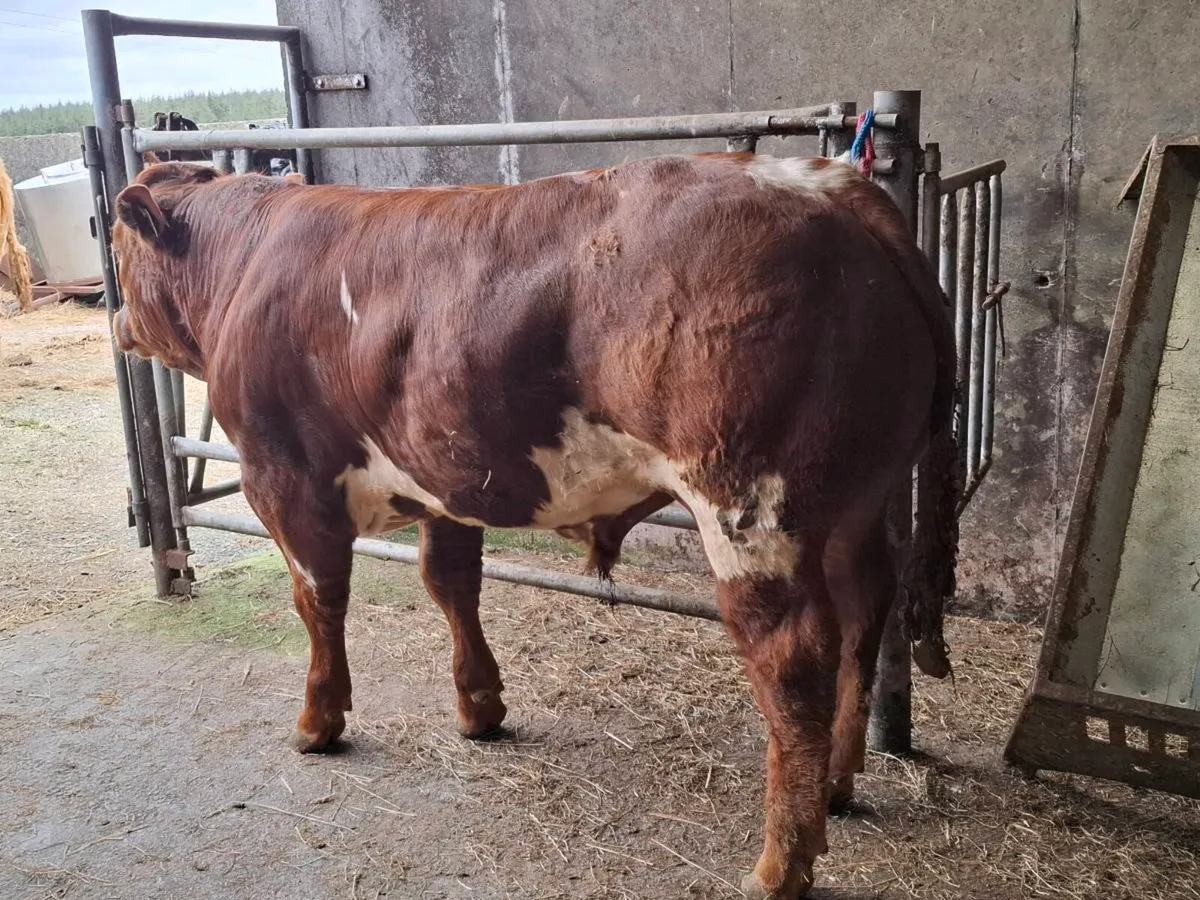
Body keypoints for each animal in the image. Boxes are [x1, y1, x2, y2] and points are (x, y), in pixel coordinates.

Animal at [109, 152, 959, 899]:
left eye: (118, 249)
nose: (116, 316)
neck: (247, 260)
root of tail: (831, 189)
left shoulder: (283, 477)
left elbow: (319, 602)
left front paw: (318, 720)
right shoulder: (444, 477)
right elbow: (452, 584)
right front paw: (479, 706)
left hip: (750, 506)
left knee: (794, 659)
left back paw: (781, 865)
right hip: (854, 506)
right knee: (864, 615)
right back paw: (840, 783)